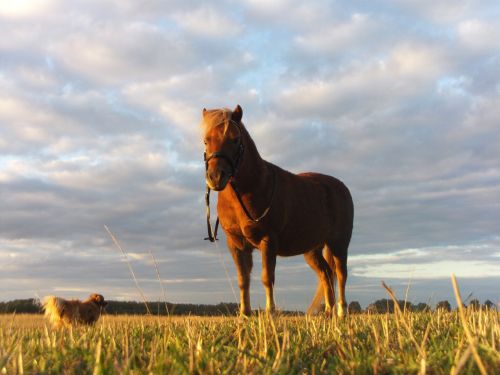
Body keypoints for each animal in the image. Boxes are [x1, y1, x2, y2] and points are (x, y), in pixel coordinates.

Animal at [201, 105, 354, 318]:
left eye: (235, 139)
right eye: (206, 140)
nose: (215, 177)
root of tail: (340, 187)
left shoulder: (268, 241)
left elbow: (267, 277)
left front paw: (270, 314)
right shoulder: (236, 244)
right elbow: (243, 279)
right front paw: (244, 315)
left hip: (338, 244)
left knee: (340, 274)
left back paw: (341, 312)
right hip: (312, 250)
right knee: (326, 274)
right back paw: (328, 312)